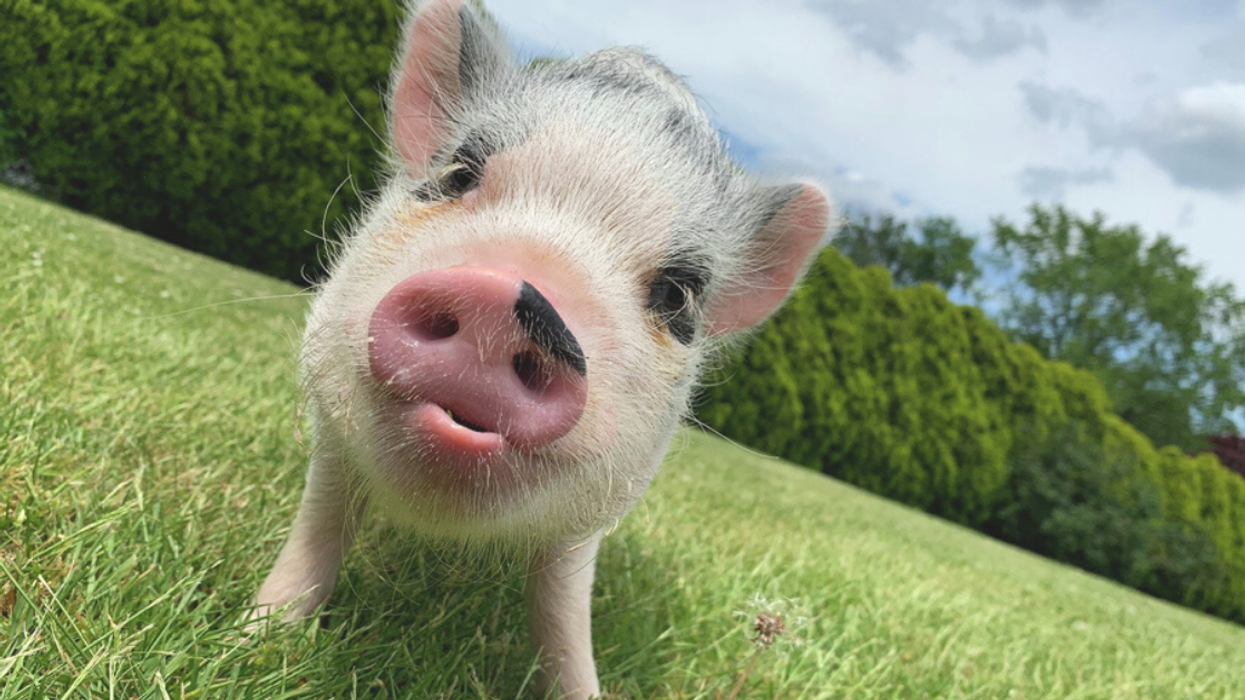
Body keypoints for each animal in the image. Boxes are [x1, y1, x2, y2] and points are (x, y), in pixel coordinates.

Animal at [249, 0, 831, 697]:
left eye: (678, 294)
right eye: (458, 174)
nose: (506, 299)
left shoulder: (591, 519)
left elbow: (562, 610)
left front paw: (583, 688)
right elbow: (322, 521)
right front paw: (257, 638)